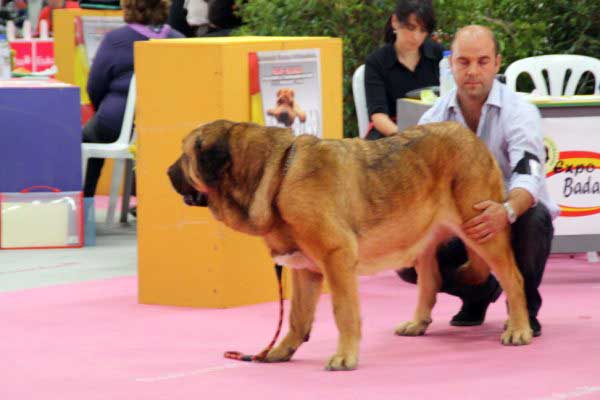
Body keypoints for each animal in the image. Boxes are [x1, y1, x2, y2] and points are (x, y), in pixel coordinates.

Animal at [166, 119, 532, 372]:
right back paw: (417, 323)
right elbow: (297, 316)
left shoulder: (336, 257)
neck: (279, 176)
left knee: (513, 279)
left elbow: (343, 311)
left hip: (481, 230)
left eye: (185, 156)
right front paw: (282, 350)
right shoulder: (306, 269)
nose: (167, 171)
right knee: (430, 280)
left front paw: (345, 356)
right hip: (422, 240)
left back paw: (519, 329)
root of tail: (471, 136)